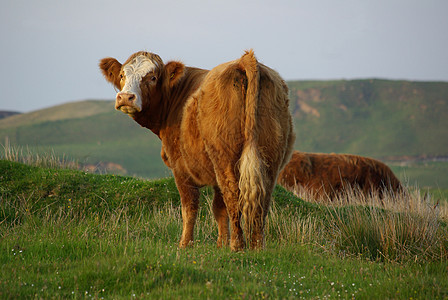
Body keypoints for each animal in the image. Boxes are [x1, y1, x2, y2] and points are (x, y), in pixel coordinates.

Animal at [99, 49, 294, 251]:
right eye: (122, 75)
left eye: (152, 77)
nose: (125, 97)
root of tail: (243, 60)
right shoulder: (215, 177)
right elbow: (218, 208)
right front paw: (220, 244)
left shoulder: (180, 168)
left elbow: (189, 207)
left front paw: (185, 244)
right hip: (269, 158)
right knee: (261, 199)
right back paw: (256, 246)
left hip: (225, 158)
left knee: (233, 195)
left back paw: (237, 245)